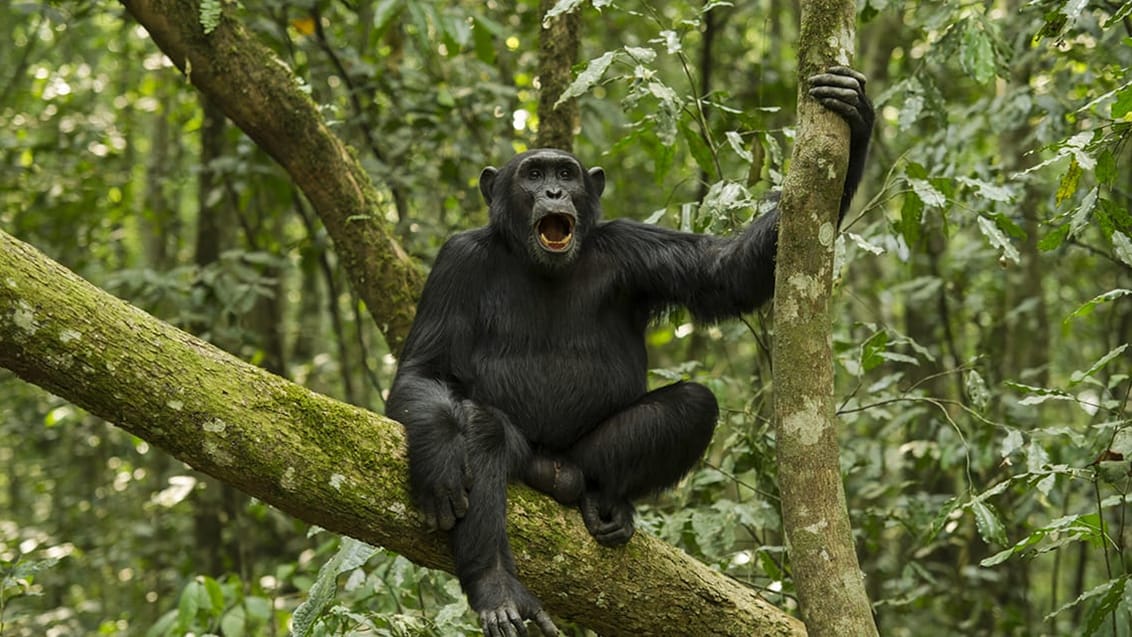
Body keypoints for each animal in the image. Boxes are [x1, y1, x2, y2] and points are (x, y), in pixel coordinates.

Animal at [384, 67, 869, 633]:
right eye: (532, 174)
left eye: (566, 174)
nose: (554, 190)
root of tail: (554, 467)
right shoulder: (455, 261)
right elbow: (424, 370)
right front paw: (440, 461)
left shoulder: (633, 248)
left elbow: (724, 273)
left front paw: (856, 114)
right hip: (526, 459)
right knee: (483, 432)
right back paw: (496, 586)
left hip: (583, 457)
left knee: (692, 405)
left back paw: (604, 499)